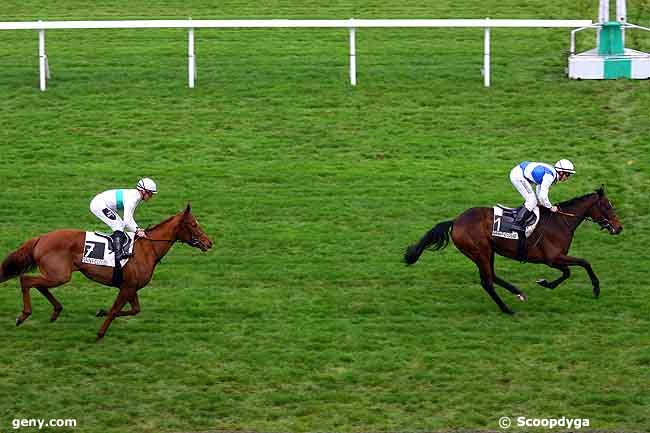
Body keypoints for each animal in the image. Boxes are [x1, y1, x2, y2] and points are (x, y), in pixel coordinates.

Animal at [0, 204, 213, 340]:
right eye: (194, 224)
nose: (209, 242)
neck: (147, 249)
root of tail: (41, 237)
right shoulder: (126, 287)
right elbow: (115, 310)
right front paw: (100, 333)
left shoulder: (131, 287)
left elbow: (134, 310)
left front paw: (100, 312)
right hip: (60, 275)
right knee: (27, 280)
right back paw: (24, 315)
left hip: (56, 275)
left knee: (38, 284)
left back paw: (56, 311)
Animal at [402, 187, 620, 312]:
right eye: (608, 206)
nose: (619, 228)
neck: (561, 222)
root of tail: (455, 221)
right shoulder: (553, 258)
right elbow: (582, 264)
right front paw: (595, 288)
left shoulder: (555, 259)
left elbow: (571, 270)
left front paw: (545, 283)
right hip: (480, 252)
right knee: (487, 282)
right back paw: (507, 309)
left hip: (488, 251)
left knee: (492, 276)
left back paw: (517, 292)